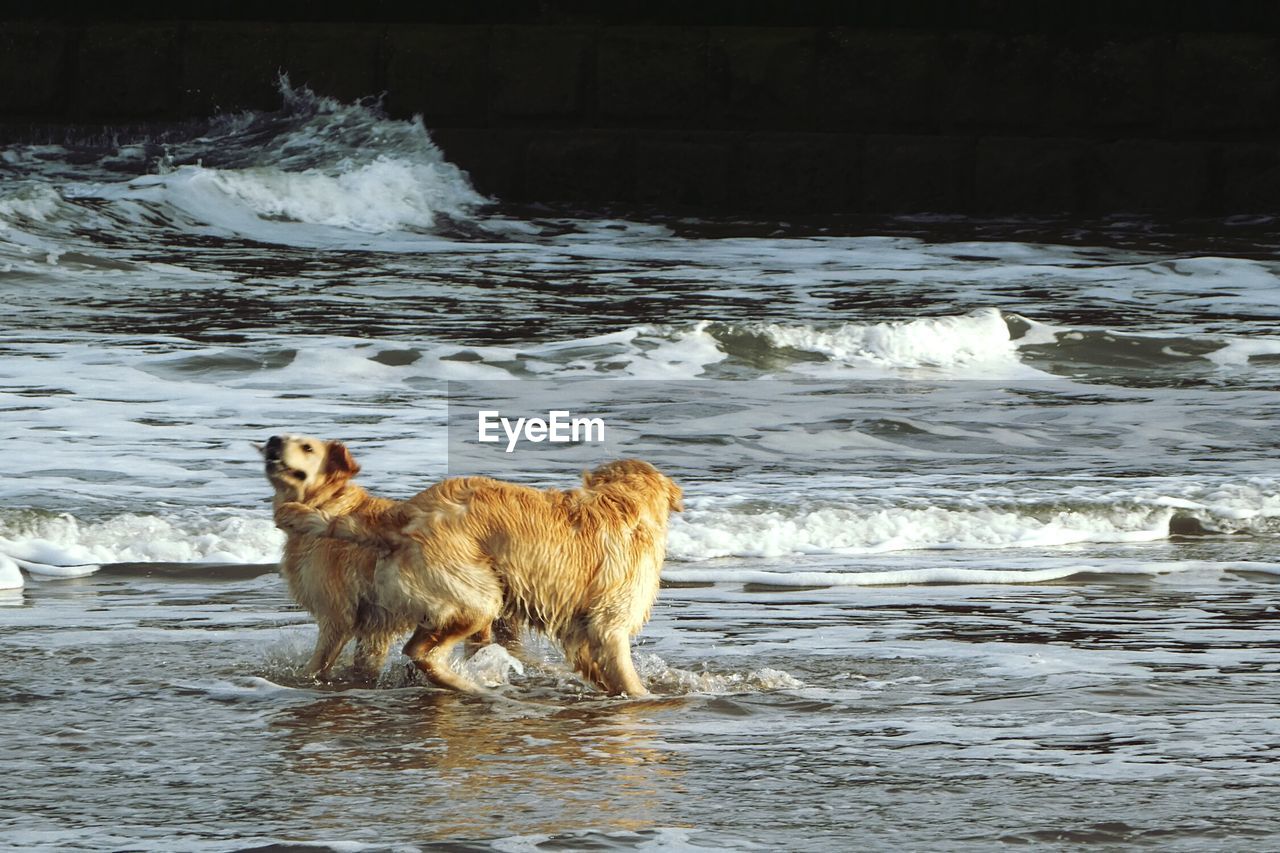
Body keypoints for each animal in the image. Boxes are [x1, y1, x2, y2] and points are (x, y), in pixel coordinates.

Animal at [275, 445, 686, 696]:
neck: (623, 502)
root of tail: (402, 514)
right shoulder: (609, 625)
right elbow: (625, 672)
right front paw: (642, 695)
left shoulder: (581, 632)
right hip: (476, 595)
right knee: (421, 650)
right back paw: (468, 685)